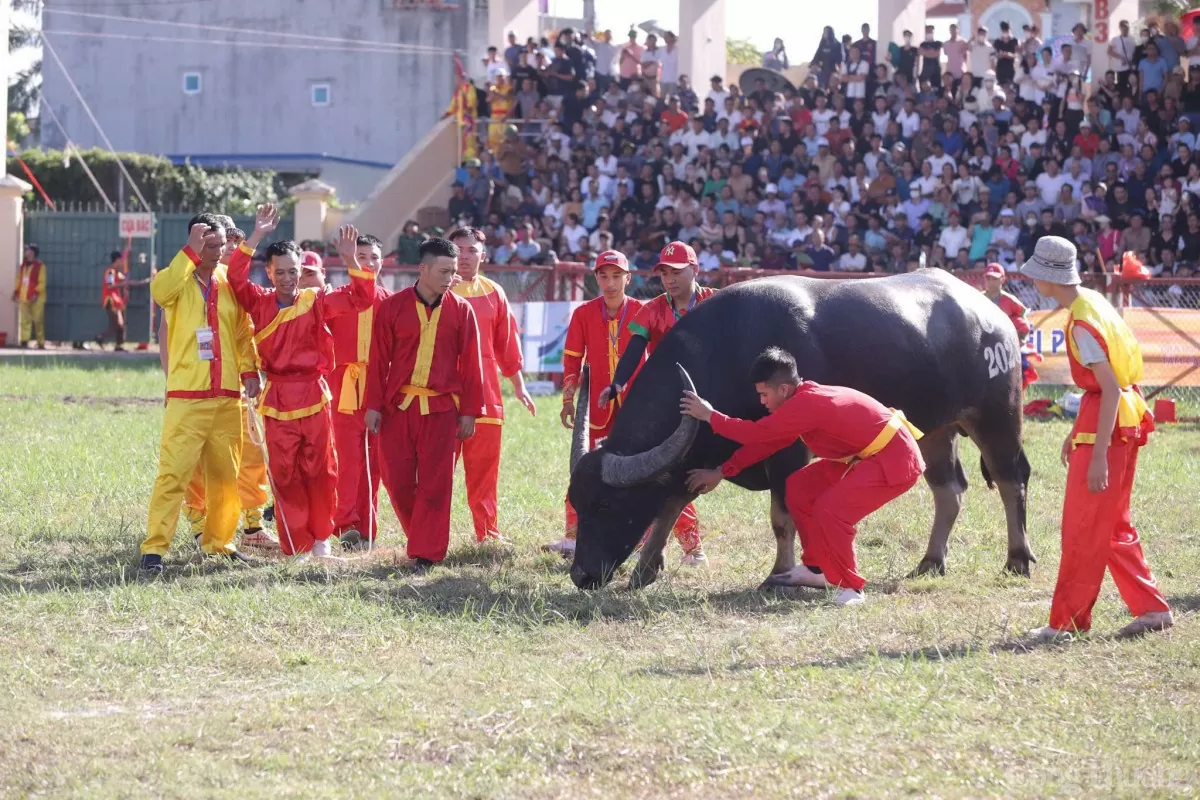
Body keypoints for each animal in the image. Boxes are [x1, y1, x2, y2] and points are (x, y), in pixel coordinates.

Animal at [566, 272, 1036, 592]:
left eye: (605, 504)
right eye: (575, 501)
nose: (582, 575)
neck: (729, 349)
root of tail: (992, 314)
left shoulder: (787, 449)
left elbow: (781, 515)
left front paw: (778, 573)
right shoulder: (694, 452)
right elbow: (669, 504)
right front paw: (644, 569)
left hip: (998, 415)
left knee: (1011, 479)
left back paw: (1017, 560)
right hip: (937, 428)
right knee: (949, 489)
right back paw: (931, 561)